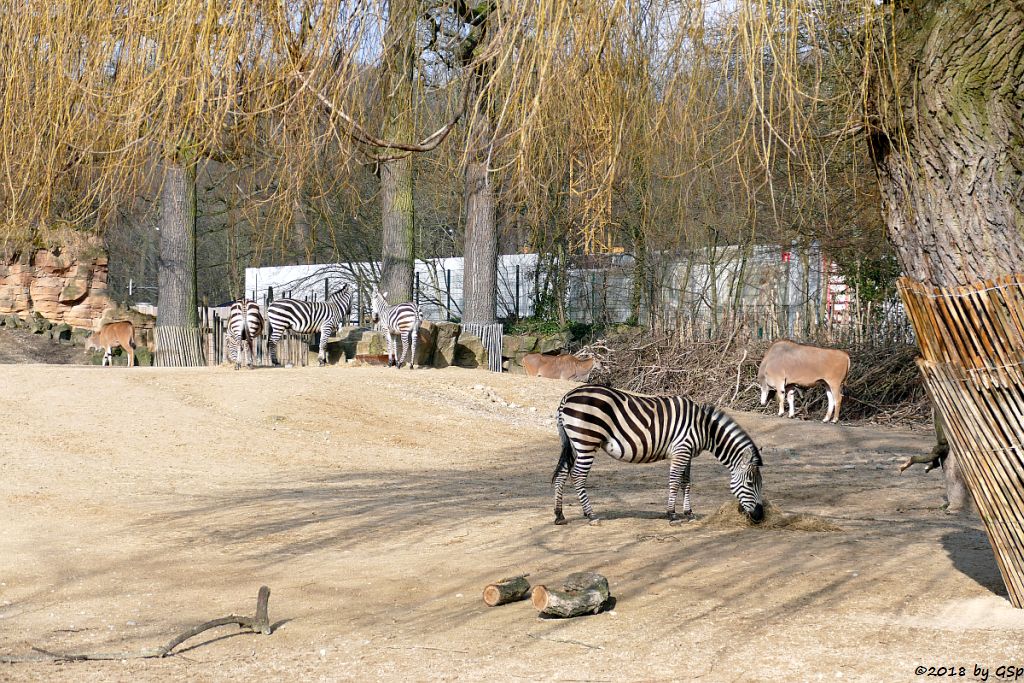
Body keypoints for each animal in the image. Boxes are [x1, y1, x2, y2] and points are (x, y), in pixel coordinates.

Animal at [552, 387, 761, 528]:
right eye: (751, 483)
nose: (760, 516)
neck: (704, 427)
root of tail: (567, 397)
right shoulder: (681, 449)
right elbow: (674, 481)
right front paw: (672, 515)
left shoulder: (687, 453)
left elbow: (686, 482)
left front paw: (689, 513)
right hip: (586, 442)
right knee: (578, 476)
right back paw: (591, 515)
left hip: (573, 444)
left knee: (561, 475)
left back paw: (559, 515)